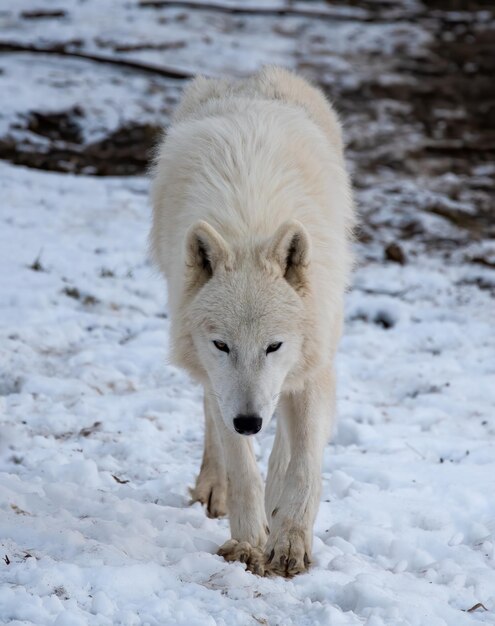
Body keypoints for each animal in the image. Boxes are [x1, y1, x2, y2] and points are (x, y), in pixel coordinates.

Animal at [149, 67, 354, 576]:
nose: (247, 422)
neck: (249, 225)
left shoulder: (315, 367)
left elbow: (304, 465)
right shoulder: (221, 378)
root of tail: (248, 76)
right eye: (223, 345)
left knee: (284, 433)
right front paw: (246, 543)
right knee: (213, 418)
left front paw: (289, 542)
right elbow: (242, 467)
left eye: (273, 346)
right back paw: (214, 487)